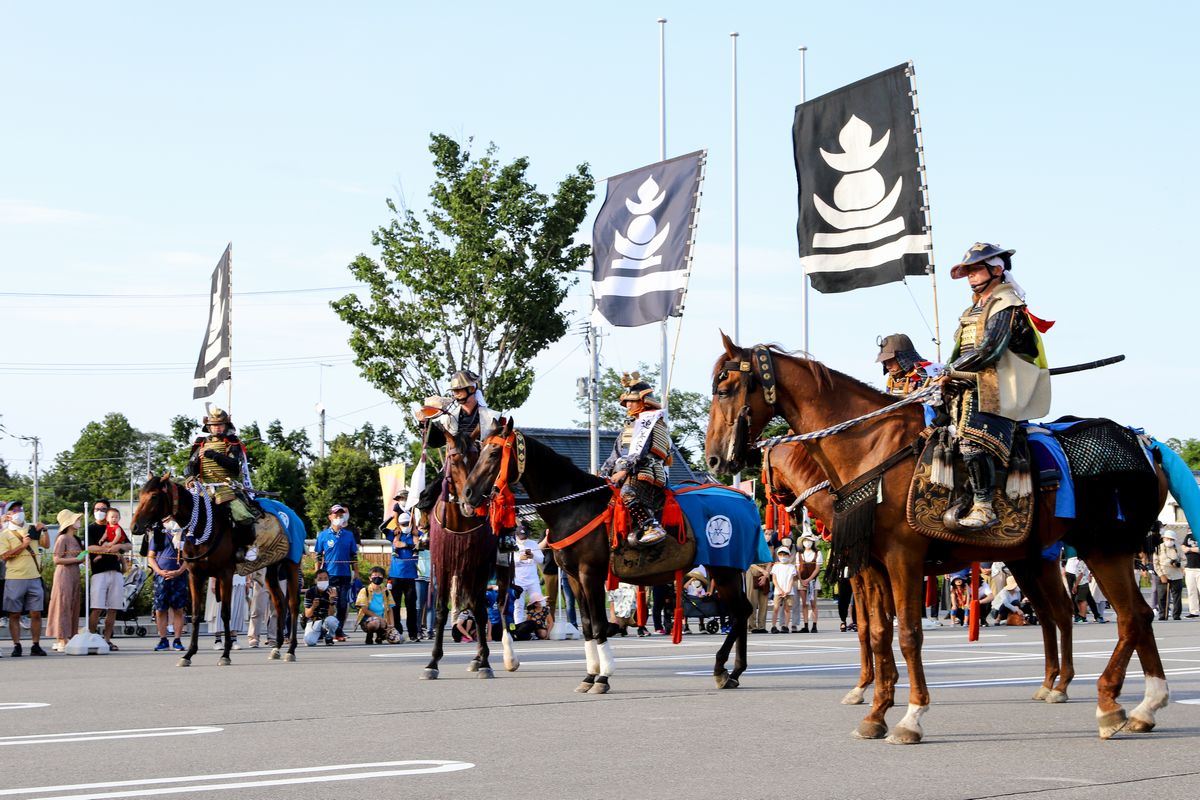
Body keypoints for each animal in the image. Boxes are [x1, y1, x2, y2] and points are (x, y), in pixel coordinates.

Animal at [129, 472, 300, 666]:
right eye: (140, 495)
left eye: (154, 496)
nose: (134, 526)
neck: (201, 526)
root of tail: (291, 513)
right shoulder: (195, 575)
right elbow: (196, 614)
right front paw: (188, 654)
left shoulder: (225, 574)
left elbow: (225, 613)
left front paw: (225, 654)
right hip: (270, 567)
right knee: (279, 602)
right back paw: (276, 648)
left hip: (292, 563)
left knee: (293, 604)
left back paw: (291, 649)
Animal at [422, 429, 516, 681]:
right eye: (454, 460)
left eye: (476, 458)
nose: (469, 500)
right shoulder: (443, 563)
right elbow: (441, 611)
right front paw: (432, 663)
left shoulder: (480, 563)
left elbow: (482, 611)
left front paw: (485, 663)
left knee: (498, 605)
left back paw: (499, 656)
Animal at [458, 419, 748, 695]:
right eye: (481, 450)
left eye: (494, 452)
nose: (467, 494)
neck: (572, 507)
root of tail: (742, 498)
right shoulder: (574, 578)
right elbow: (587, 625)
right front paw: (589, 675)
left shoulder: (590, 574)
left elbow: (598, 624)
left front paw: (603, 676)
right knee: (741, 611)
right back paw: (734, 672)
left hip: (725, 569)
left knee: (740, 611)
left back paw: (722, 668)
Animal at [763, 438, 1084, 705]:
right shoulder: (867, 572)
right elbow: (870, 626)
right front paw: (874, 686)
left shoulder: (869, 569)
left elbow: (873, 626)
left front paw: (875, 686)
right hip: (1024, 565)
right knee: (1045, 616)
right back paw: (1048, 681)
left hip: (1041, 563)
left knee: (1061, 613)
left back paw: (1061, 685)